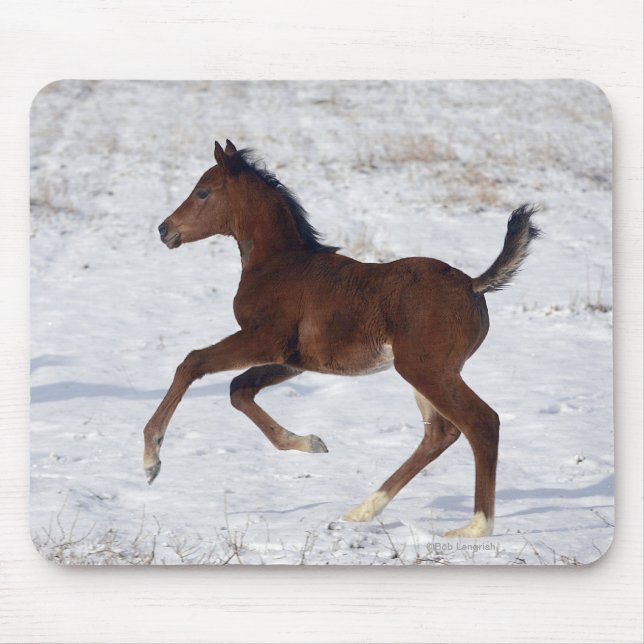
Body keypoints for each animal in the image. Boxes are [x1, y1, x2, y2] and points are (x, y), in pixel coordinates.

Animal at [143, 139, 540, 538]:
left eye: (202, 192)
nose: (164, 229)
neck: (278, 264)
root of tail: (473, 284)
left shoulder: (265, 339)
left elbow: (192, 363)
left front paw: (151, 459)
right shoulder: (293, 360)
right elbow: (239, 389)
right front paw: (313, 443)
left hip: (426, 370)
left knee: (481, 423)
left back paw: (475, 527)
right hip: (427, 372)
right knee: (439, 433)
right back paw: (362, 511)